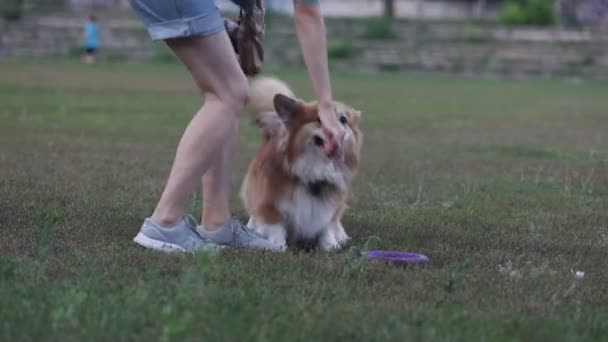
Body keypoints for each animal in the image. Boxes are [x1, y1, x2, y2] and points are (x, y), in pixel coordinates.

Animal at [240, 78, 360, 251]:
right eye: (319, 119)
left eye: (343, 120)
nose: (338, 130)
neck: (316, 170)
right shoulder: (269, 201)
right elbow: (275, 225)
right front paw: (277, 245)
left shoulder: (330, 205)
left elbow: (327, 225)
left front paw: (330, 245)